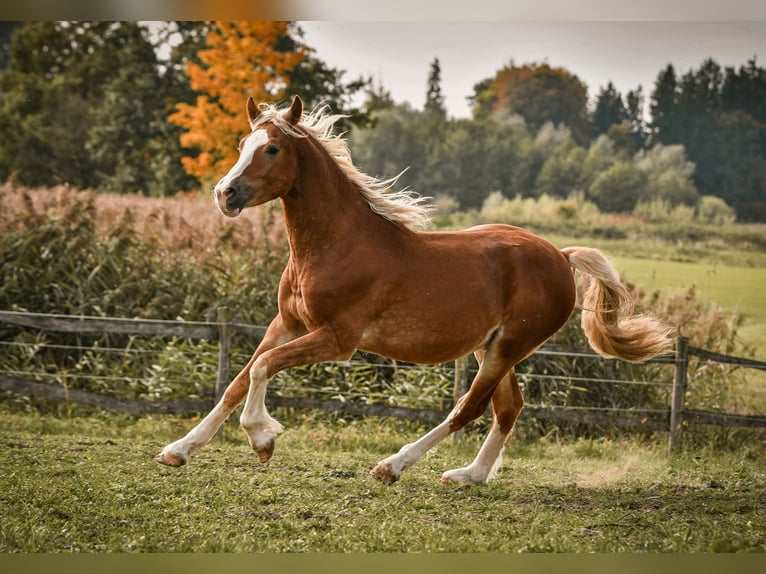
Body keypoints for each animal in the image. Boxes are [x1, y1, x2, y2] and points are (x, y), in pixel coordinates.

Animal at [155, 95, 674, 485]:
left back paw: (393, 466)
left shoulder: (337, 340)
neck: (336, 244)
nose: (225, 194)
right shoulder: (287, 324)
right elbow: (239, 381)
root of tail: (561, 256)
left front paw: (263, 438)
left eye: (273, 150)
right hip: (493, 346)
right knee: (508, 407)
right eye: (244, 142)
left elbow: (262, 369)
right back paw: (470, 476)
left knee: (468, 408)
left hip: (510, 345)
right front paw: (178, 450)